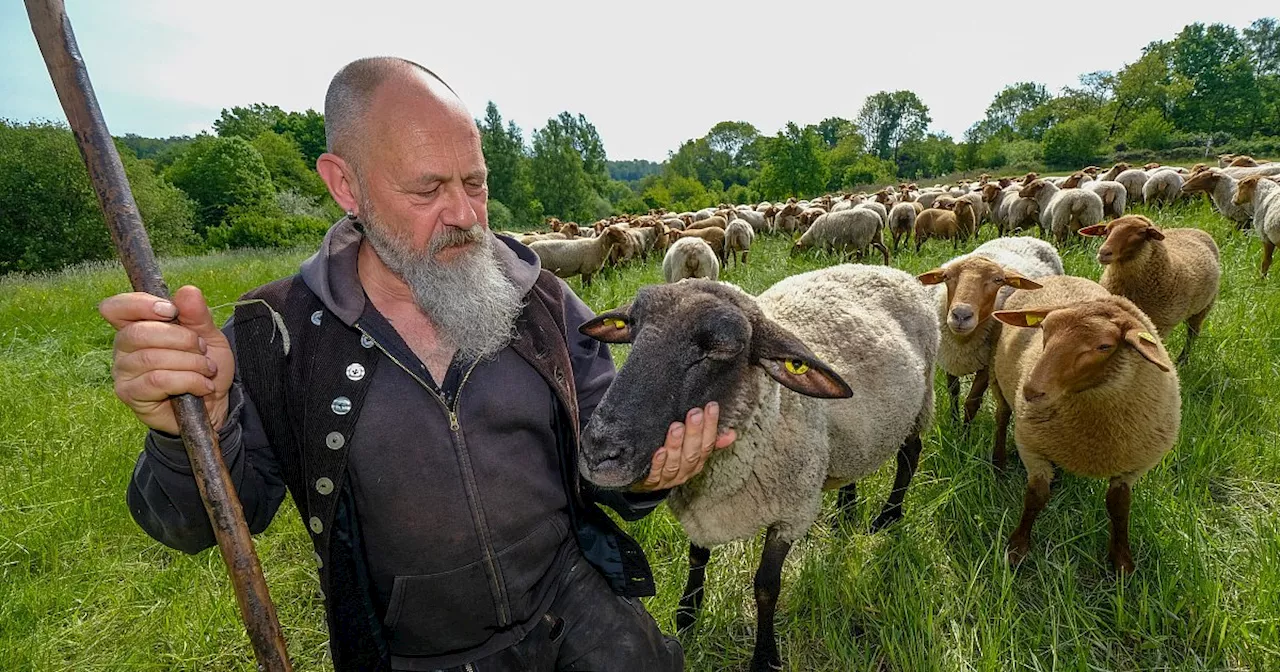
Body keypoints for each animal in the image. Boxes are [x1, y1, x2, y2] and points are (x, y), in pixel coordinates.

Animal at [581, 266, 942, 670]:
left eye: (719, 349)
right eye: (632, 331)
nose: (598, 452)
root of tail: (889, 270)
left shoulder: (791, 513)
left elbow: (767, 587)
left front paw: (765, 656)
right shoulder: (701, 504)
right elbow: (697, 557)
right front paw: (687, 616)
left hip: (922, 399)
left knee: (910, 455)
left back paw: (890, 515)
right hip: (850, 436)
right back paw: (845, 510)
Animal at [916, 235, 1064, 450]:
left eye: (998, 280)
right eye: (946, 277)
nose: (961, 315)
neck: (963, 343)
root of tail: (1024, 236)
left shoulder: (988, 363)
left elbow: (971, 402)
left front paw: (964, 438)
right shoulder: (948, 356)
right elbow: (953, 392)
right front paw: (954, 424)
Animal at [988, 277, 1177, 570]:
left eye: (1104, 346)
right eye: (1044, 330)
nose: (1031, 390)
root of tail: (1062, 277)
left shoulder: (1134, 466)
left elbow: (1119, 506)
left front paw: (1122, 561)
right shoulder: (1031, 445)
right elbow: (1035, 497)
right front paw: (1017, 548)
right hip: (999, 380)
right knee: (1001, 417)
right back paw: (998, 462)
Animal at [1080, 215, 1218, 360]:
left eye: (1141, 232)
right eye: (1106, 230)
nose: (1104, 252)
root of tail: (1193, 229)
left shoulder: (1161, 325)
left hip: (1203, 308)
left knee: (1193, 333)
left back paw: (1183, 359)